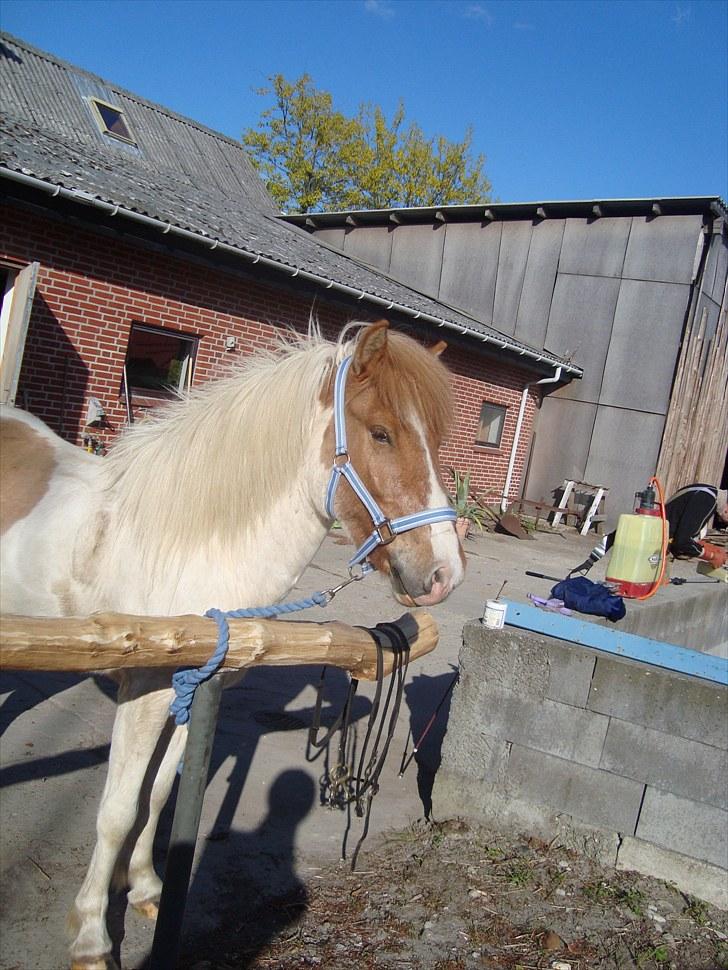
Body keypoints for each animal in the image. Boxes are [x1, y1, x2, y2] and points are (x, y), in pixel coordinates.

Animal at [0, 316, 464, 960]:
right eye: (381, 434)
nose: (446, 575)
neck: (191, 539)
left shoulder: (195, 687)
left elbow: (160, 792)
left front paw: (145, 888)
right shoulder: (142, 691)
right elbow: (117, 808)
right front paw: (92, 935)